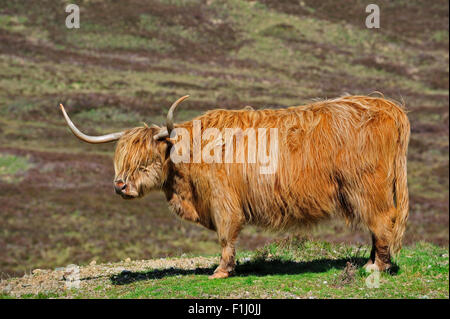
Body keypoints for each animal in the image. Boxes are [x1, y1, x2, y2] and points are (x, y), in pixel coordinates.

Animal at [60, 94, 412, 278]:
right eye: (121, 158)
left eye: (145, 160)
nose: (120, 186)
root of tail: (386, 106)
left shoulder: (223, 201)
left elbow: (226, 236)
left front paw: (221, 271)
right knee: (377, 226)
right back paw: (371, 261)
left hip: (368, 189)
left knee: (383, 221)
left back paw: (376, 267)